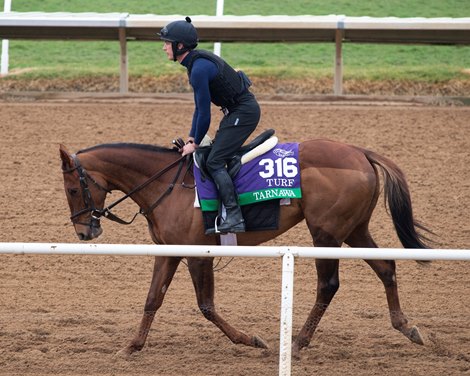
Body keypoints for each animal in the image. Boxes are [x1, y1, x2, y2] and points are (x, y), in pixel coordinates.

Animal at [57, 138, 430, 358]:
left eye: (73, 189)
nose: (84, 231)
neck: (167, 184)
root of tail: (361, 153)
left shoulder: (197, 253)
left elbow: (206, 305)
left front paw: (251, 339)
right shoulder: (169, 250)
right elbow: (153, 299)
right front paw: (132, 346)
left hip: (326, 233)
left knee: (328, 285)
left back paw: (297, 343)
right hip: (354, 229)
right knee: (386, 267)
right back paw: (406, 326)